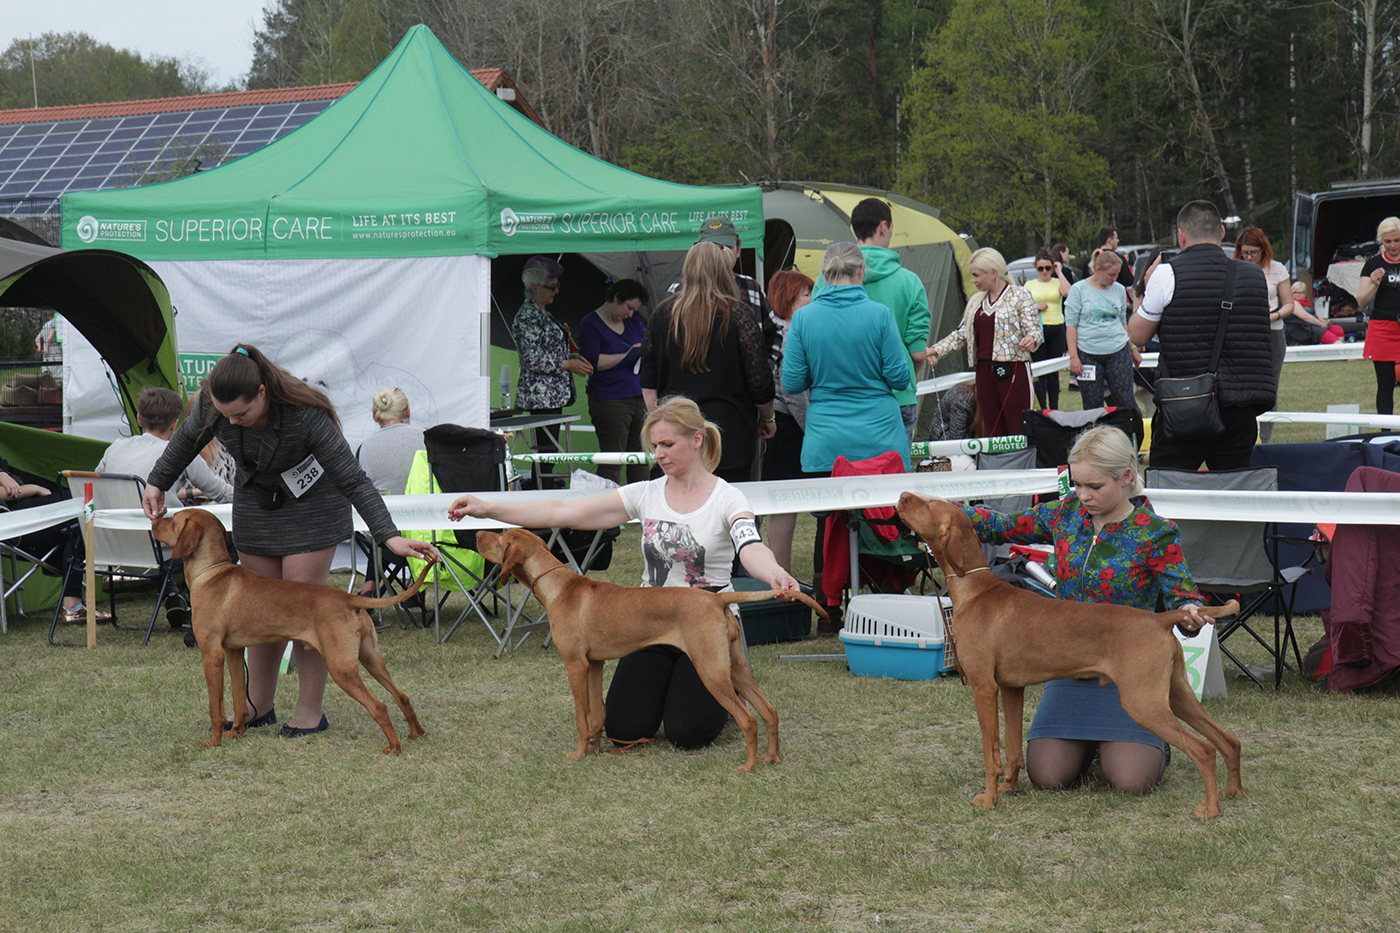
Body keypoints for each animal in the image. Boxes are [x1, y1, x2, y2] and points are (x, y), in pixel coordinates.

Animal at [151, 509, 431, 755]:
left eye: (173, 520)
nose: (153, 521)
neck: (210, 573)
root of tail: (349, 598)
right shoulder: (233, 652)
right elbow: (240, 700)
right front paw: (236, 732)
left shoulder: (211, 654)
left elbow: (215, 708)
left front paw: (213, 742)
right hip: (370, 658)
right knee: (402, 696)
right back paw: (416, 733)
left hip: (341, 668)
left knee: (379, 706)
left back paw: (394, 747)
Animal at [895, 493, 1244, 818]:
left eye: (928, 506)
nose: (902, 496)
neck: (976, 590)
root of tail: (1160, 618)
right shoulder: (1010, 688)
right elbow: (1013, 749)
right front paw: (1009, 788)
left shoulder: (984, 688)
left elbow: (990, 751)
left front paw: (990, 798)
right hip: (1176, 694)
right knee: (1228, 740)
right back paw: (1233, 792)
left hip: (1144, 703)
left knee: (1203, 749)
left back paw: (1211, 808)